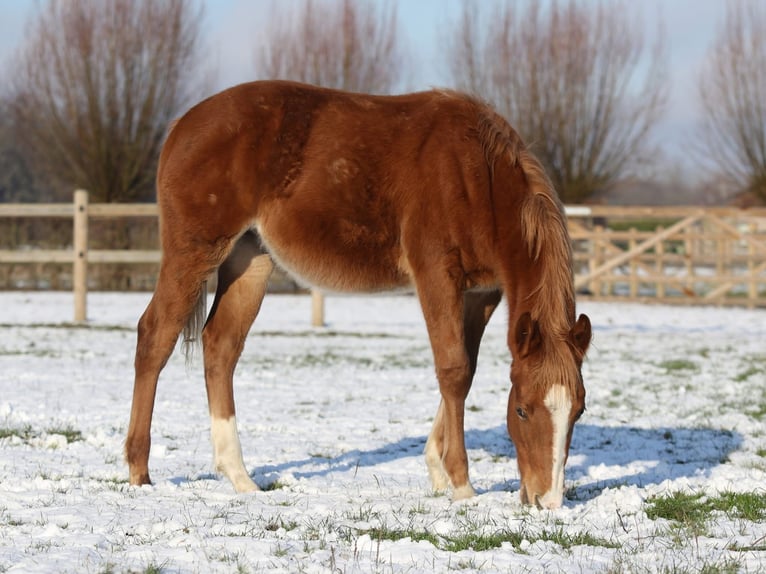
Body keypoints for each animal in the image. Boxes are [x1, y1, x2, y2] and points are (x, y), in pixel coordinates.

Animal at [125, 80, 591, 509]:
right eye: (522, 410)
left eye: (578, 411)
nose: (547, 501)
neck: (478, 176)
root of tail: (183, 124)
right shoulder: (436, 275)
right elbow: (453, 370)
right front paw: (460, 484)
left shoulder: (482, 293)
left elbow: (467, 369)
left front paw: (436, 467)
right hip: (196, 251)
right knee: (155, 336)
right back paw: (138, 470)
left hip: (250, 259)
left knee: (220, 346)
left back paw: (240, 477)